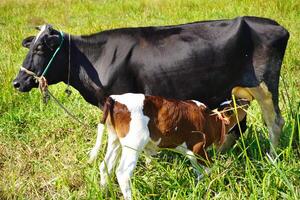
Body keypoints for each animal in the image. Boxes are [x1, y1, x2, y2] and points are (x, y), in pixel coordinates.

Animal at [12, 16, 290, 153]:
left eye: (40, 49)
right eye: (29, 46)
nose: (16, 82)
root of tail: (275, 25)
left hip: (265, 86)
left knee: (275, 122)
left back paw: (272, 159)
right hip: (236, 93)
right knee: (235, 126)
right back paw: (222, 157)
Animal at [88, 93, 250, 199]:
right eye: (238, 103)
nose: (247, 99)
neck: (212, 120)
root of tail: (115, 98)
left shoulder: (191, 152)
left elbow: (198, 172)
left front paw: (198, 187)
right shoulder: (198, 148)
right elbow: (209, 169)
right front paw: (211, 187)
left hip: (115, 140)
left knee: (105, 166)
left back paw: (103, 192)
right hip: (133, 144)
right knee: (122, 173)